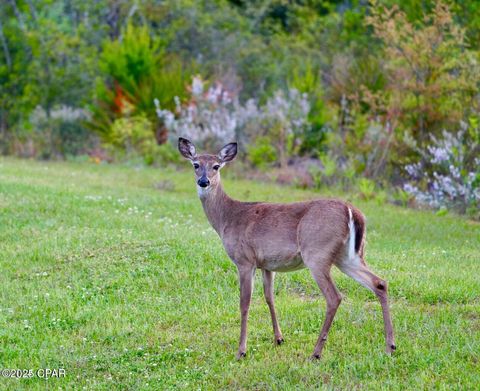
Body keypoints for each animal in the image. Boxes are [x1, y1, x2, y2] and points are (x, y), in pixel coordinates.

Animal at [178, 138, 396, 362]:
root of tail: (352, 211)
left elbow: (244, 303)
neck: (227, 218)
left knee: (334, 297)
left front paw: (241, 351)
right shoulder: (267, 264)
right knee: (379, 283)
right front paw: (279, 339)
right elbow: (269, 298)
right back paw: (389, 346)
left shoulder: (244, 260)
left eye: (216, 166)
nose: (203, 181)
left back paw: (316, 353)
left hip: (317, 253)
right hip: (348, 257)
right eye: (196, 165)